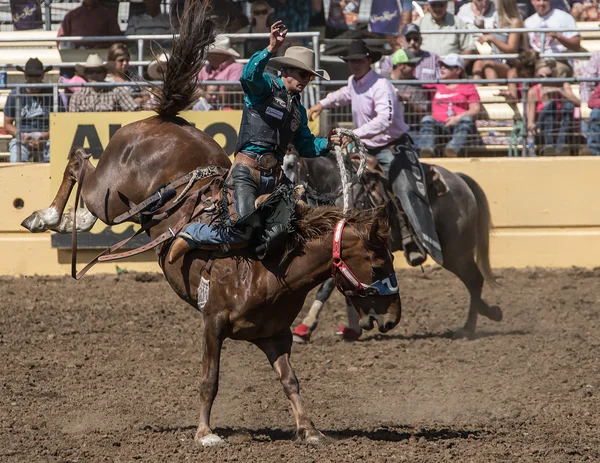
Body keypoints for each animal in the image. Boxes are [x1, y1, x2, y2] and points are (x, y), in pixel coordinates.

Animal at [21, 0, 400, 450]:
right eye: (378, 265)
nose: (393, 319)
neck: (271, 261)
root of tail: (163, 118)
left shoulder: (275, 336)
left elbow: (291, 382)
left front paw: (309, 429)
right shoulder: (212, 322)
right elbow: (210, 380)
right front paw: (205, 433)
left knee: (86, 187)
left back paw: (68, 218)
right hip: (108, 194)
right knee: (79, 161)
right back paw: (45, 216)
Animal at [282, 152, 502, 340]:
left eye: (291, 165)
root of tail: (459, 179)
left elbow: (327, 287)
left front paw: (306, 325)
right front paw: (353, 329)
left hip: (455, 252)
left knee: (474, 280)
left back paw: (469, 328)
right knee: (473, 282)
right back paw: (489, 314)